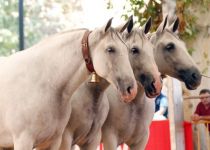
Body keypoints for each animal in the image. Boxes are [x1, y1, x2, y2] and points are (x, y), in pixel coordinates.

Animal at [101, 15, 202, 149]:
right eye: (170, 46)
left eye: (183, 45)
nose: (196, 76)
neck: (133, 103)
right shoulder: (110, 139)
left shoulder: (140, 141)